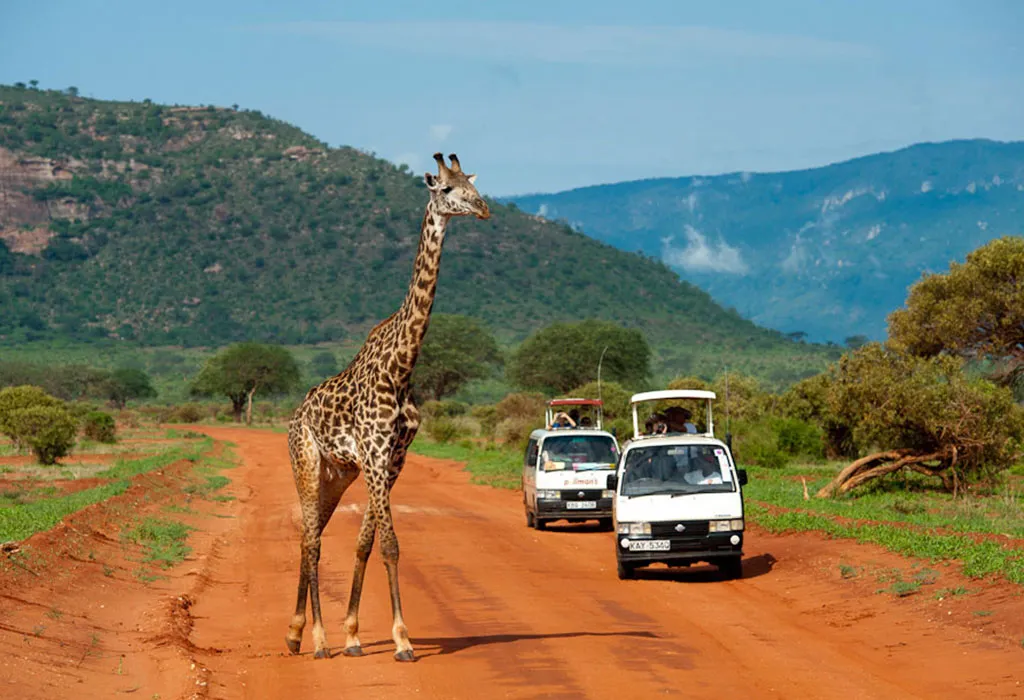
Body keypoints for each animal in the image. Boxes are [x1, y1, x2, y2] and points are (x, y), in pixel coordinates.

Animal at [284, 152, 490, 662]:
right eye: (445, 189)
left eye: (473, 185)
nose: (483, 209)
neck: (403, 366)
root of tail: (294, 415)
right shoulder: (375, 454)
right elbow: (391, 544)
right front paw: (402, 640)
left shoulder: (394, 458)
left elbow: (365, 542)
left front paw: (356, 634)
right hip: (306, 461)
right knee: (313, 541)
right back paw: (317, 641)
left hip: (338, 474)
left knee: (310, 536)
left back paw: (295, 633)